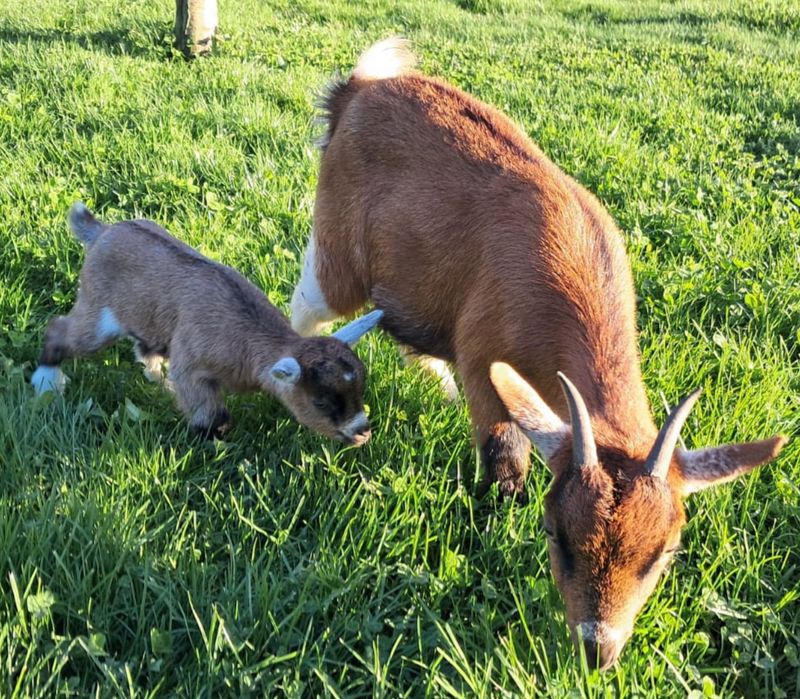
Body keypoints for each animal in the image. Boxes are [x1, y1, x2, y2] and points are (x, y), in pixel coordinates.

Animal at [32, 203, 382, 443]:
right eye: (321, 401)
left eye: (360, 388)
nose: (362, 433)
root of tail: (101, 232)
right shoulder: (193, 367)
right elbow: (213, 415)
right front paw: (214, 443)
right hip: (98, 312)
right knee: (62, 332)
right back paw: (47, 381)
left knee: (145, 349)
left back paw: (161, 383)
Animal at [289, 39, 787, 669]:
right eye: (557, 534)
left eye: (664, 554)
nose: (597, 650)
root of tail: (356, 89)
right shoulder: (485, 362)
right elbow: (504, 456)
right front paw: (493, 522)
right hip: (338, 252)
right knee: (309, 304)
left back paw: (437, 388)